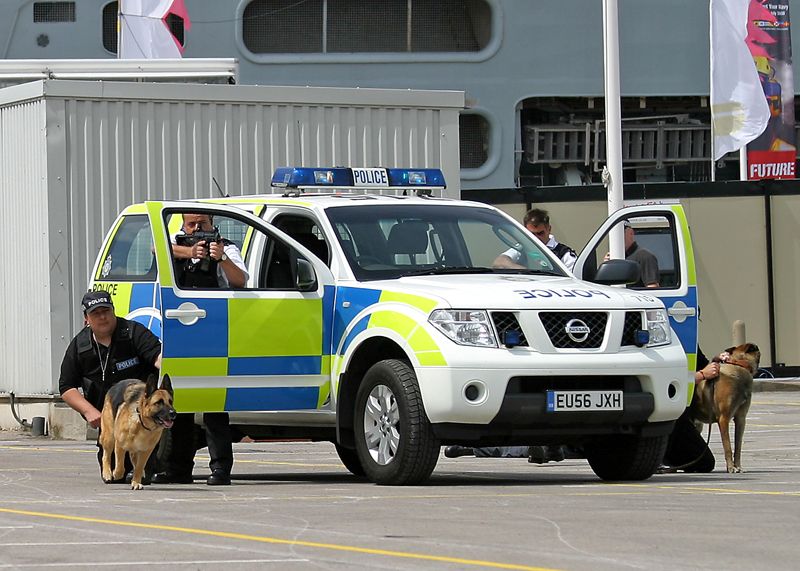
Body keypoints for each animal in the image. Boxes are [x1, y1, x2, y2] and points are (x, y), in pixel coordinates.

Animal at [692, 344, 760, 474]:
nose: (757, 347)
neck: (738, 365)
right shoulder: (724, 419)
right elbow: (727, 446)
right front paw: (731, 467)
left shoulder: (741, 419)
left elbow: (738, 446)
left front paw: (737, 466)